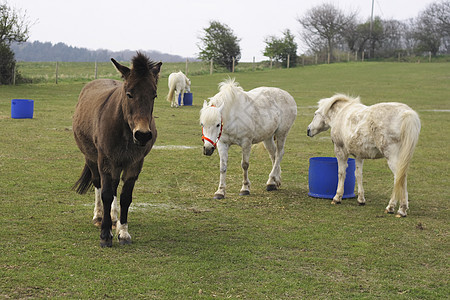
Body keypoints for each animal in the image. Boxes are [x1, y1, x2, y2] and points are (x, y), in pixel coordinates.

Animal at [74, 52, 163, 247]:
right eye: (129, 94)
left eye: (154, 95)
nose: (142, 135)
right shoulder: (106, 162)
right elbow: (106, 194)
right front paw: (105, 235)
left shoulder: (134, 165)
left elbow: (125, 197)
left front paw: (123, 232)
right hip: (92, 159)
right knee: (99, 184)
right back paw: (99, 217)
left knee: (114, 188)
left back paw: (114, 219)